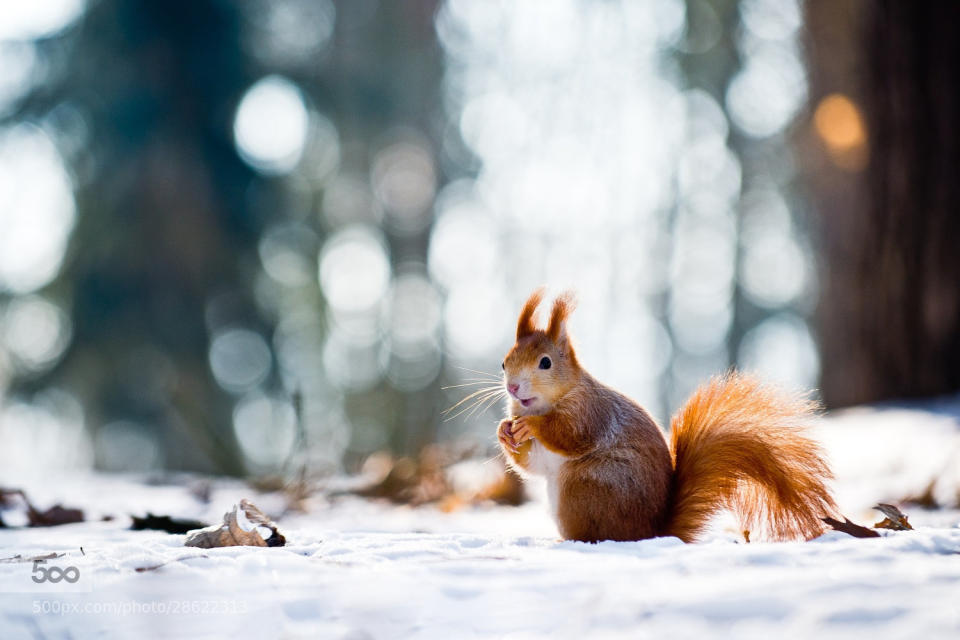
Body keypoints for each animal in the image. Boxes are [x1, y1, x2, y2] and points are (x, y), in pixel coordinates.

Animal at [498, 288, 836, 544]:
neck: (544, 402)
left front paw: (532, 425)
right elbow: (532, 465)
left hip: (586, 488)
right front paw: (505, 430)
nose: (513, 387)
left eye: (545, 363)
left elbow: (569, 435)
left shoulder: (590, 413)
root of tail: (652, 532)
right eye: (504, 363)